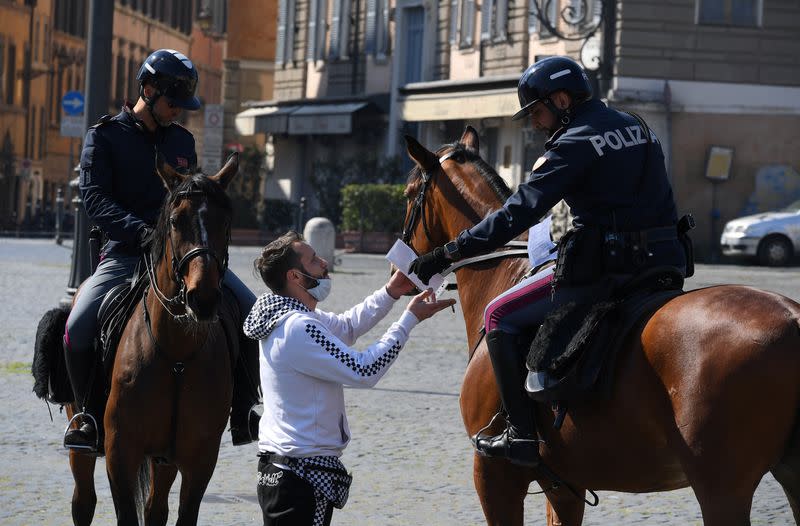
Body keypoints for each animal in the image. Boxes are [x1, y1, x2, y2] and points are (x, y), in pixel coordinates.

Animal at [64, 155, 241, 524]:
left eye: (225, 221)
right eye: (175, 221)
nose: (203, 298)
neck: (176, 354)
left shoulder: (200, 460)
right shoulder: (120, 453)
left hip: (165, 461)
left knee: (156, 508)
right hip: (83, 446)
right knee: (83, 500)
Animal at [404, 128, 800, 526]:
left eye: (408, 193)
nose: (401, 269)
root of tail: (793, 318)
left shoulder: (493, 475)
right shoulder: (565, 486)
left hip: (721, 491)